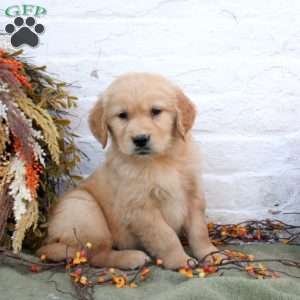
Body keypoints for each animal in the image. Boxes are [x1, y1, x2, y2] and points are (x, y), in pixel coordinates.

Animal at [37, 72, 217, 270]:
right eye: (122, 115)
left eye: (156, 111)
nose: (140, 139)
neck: (160, 161)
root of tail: (48, 240)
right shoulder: (140, 208)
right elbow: (166, 236)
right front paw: (180, 260)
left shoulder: (193, 195)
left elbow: (199, 231)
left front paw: (211, 254)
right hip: (83, 208)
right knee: (95, 255)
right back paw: (131, 257)